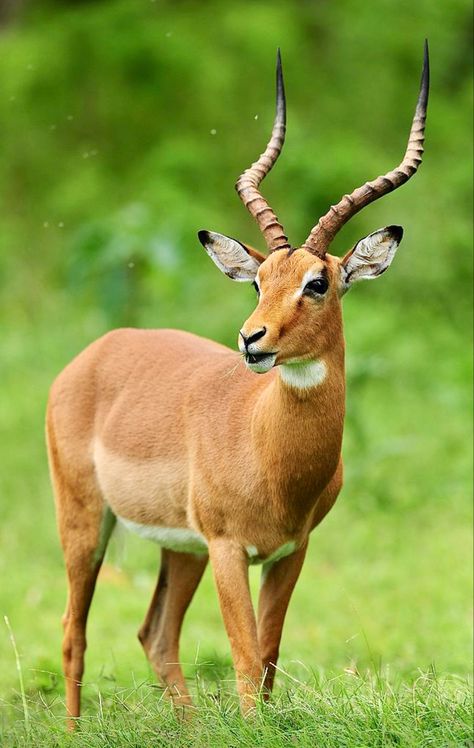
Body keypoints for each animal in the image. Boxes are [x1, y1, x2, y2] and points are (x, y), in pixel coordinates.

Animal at [47, 42, 430, 724]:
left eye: (317, 282)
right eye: (258, 280)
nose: (252, 339)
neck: (268, 450)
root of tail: (98, 350)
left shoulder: (288, 551)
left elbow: (270, 655)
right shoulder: (229, 549)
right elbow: (247, 659)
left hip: (181, 549)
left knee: (156, 633)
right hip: (87, 521)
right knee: (74, 630)